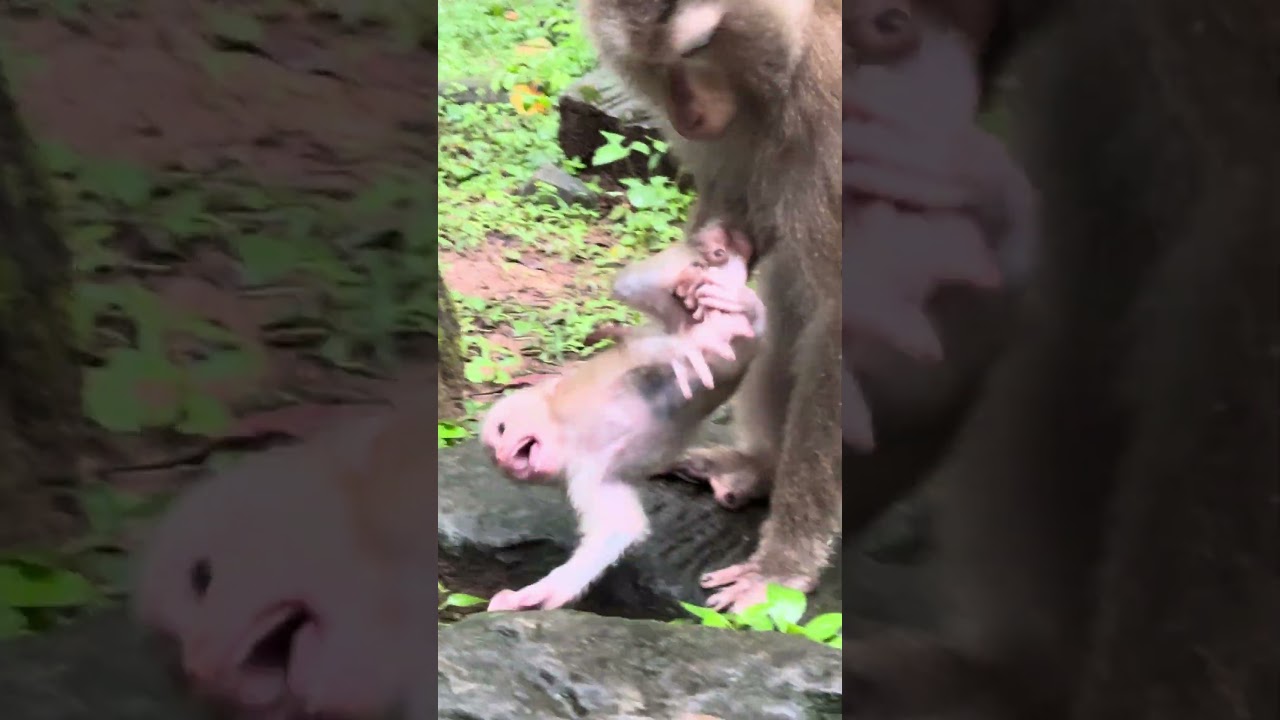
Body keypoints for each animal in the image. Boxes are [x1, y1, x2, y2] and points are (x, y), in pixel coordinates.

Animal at [481, 229, 766, 611]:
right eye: (497, 459)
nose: (504, 458)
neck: (568, 432)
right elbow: (619, 527)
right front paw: (533, 596)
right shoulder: (586, 472)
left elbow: (647, 352)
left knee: (640, 291)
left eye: (501, 430)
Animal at [581, 0, 844, 614]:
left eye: (697, 50)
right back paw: (758, 466)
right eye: (648, 64)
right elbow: (739, 212)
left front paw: (783, 565)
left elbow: (843, 320)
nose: (687, 117)